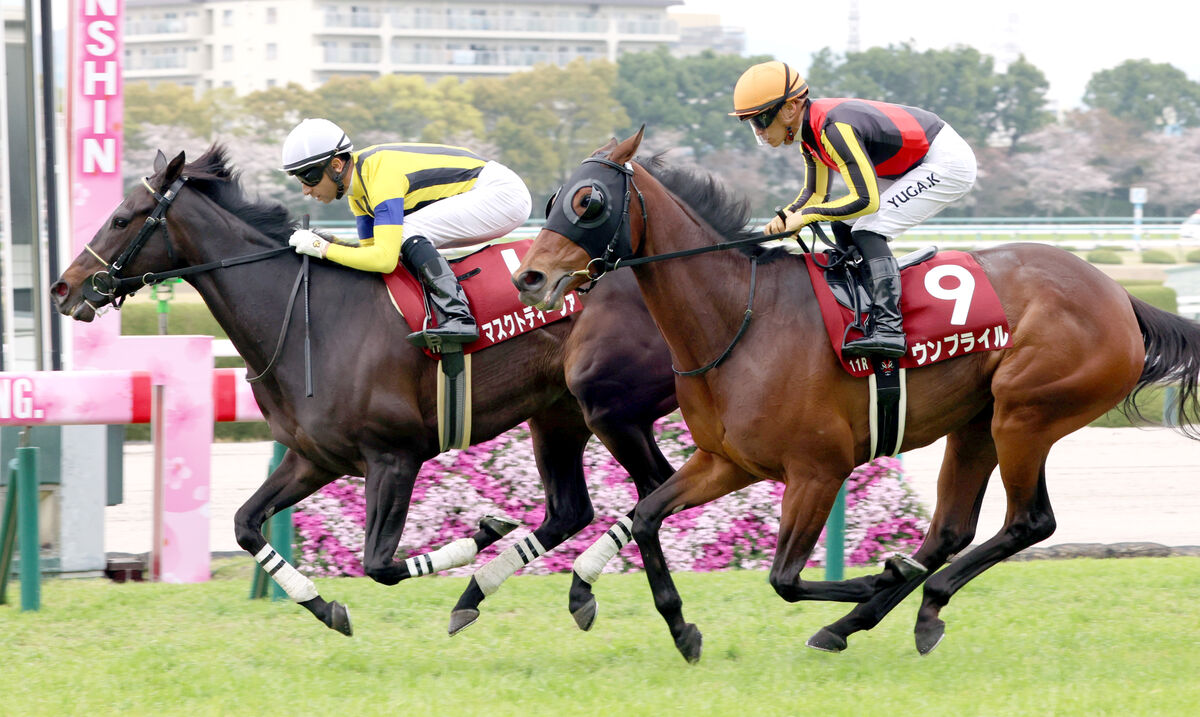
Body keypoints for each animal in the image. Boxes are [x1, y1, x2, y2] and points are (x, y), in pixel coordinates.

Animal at [50, 145, 677, 636]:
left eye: (123, 218)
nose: (63, 288)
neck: (310, 321)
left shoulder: (393, 456)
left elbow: (379, 564)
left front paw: (478, 532)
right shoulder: (314, 459)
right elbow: (246, 525)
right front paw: (325, 606)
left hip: (615, 405)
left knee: (657, 486)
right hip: (558, 413)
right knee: (575, 508)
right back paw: (508, 591)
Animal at [512, 127, 1200, 663]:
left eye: (589, 200)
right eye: (552, 199)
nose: (530, 276)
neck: (742, 317)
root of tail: (1121, 297)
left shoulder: (819, 469)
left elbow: (785, 577)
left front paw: (875, 578)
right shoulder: (727, 461)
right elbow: (647, 516)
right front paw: (667, 624)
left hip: (1025, 414)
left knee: (1030, 520)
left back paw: (902, 602)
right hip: (976, 424)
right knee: (950, 531)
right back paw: (886, 614)